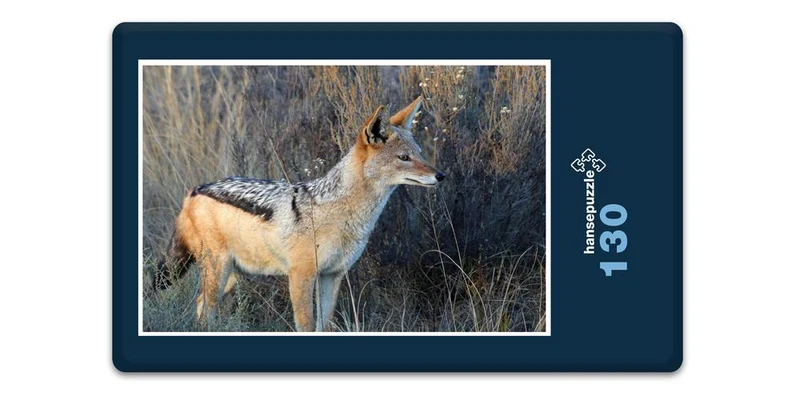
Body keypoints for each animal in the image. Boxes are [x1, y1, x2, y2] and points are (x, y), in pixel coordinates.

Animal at [152, 96, 445, 332]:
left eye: (419, 154)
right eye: (404, 158)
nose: (440, 175)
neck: (346, 216)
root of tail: (194, 190)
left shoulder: (333, 275)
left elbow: (323, 324)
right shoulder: (301, 276)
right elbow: (305, 325)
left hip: (230, 277)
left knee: (200, 305)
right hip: (218, 271)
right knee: (206, 314)